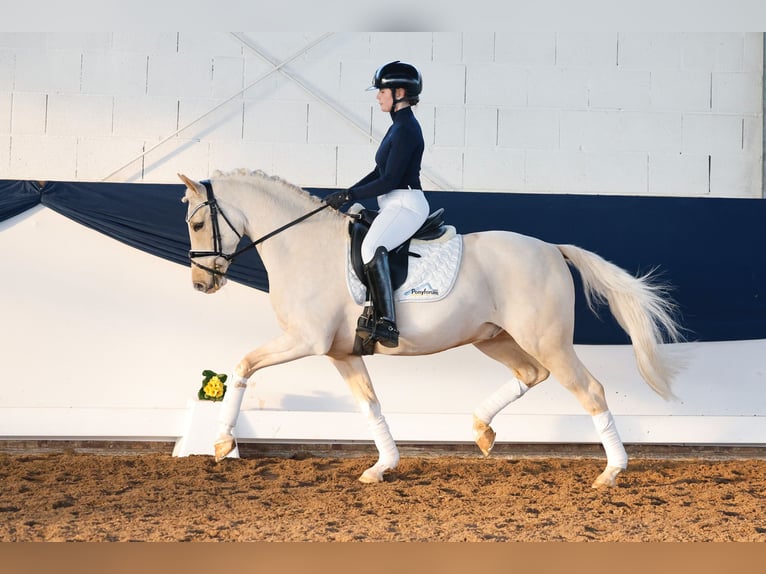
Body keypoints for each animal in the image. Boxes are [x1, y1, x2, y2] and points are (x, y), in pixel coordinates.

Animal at [178, 170, 684, 490]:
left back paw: (611, 472)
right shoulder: (341, 352)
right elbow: (369, 404)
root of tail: (551, 249)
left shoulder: (306, 340)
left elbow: (243, 364)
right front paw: (382, 467)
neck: (302, 245)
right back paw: (481, 429)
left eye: (198, 223)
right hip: (495, 337)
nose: (201, 284)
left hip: (547, 340)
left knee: (590, 390)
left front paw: (222, 442)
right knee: (530, 375)